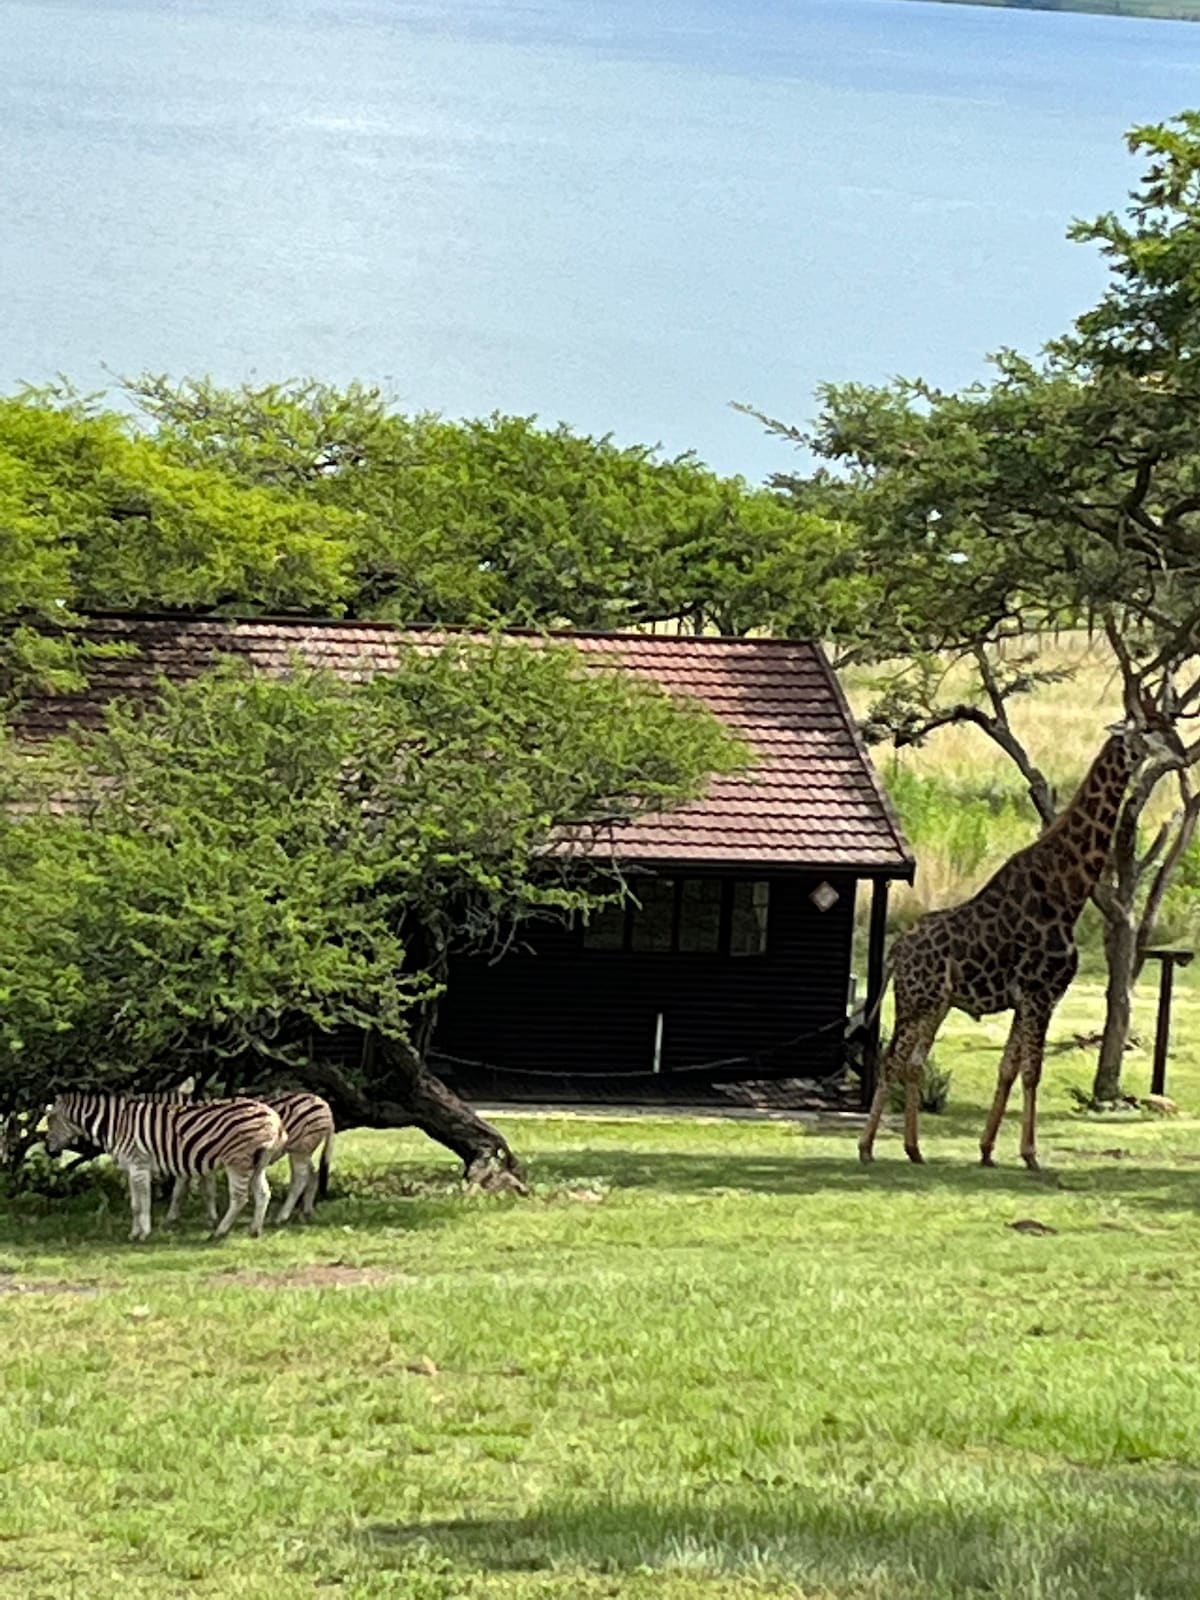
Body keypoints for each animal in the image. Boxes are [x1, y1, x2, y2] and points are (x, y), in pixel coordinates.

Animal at [42, 1094, 289, 1241]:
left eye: (51, 1120)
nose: (49, 1151)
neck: (115, 1125)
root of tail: (274, 1116)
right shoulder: (131, 1169)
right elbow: (134, 1204)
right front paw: (134, 1233)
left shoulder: (139, 1165)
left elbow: (142, 1204)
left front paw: (143, 1233)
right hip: (258, 1163)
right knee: (263, 1194)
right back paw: (254, 1230)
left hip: (237, 1160)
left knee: (239, 1197)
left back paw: (220, 1231)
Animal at [162, 1094, 336, 1228]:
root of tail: (323, 1104)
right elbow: (188, 1190)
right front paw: (176, 1217)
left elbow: (193, 1190)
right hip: (305, 1151)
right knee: (313, 1174)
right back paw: (307, 1211)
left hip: (299, 1150)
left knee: (301, 1178)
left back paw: (281, 1217)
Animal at [857, 713, 1190, 1177]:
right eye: (1148, 732)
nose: (1182, 756)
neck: (1068, 893)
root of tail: (896, 952)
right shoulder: (1040, 994)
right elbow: (1032, 1071)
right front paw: (1030, 1154)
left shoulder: (1028, 999)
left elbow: (1007, 1068)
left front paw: (987, 1149)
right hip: (916, 1000)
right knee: (892, 1059)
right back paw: (867, 1147)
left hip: (937, 1004)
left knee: (913, 1063)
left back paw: (913, 1148)